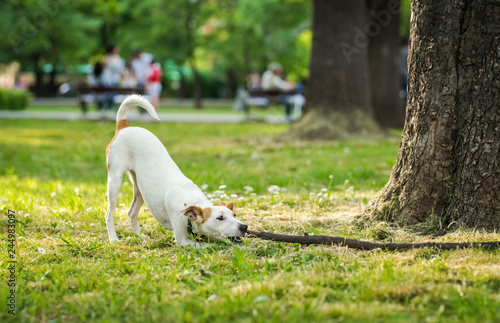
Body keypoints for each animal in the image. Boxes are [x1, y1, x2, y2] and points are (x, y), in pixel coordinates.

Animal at [105, 95, 248, 247]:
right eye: (220, 218)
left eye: (234, 215)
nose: (244, 227)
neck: (192, 201)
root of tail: (124, 127)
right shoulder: (184, 241)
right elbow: (209, 245)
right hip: (115, 181)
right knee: (109, 214)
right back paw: (113, 238)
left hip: (141, 189)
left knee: (132, 212)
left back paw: (140, 236)